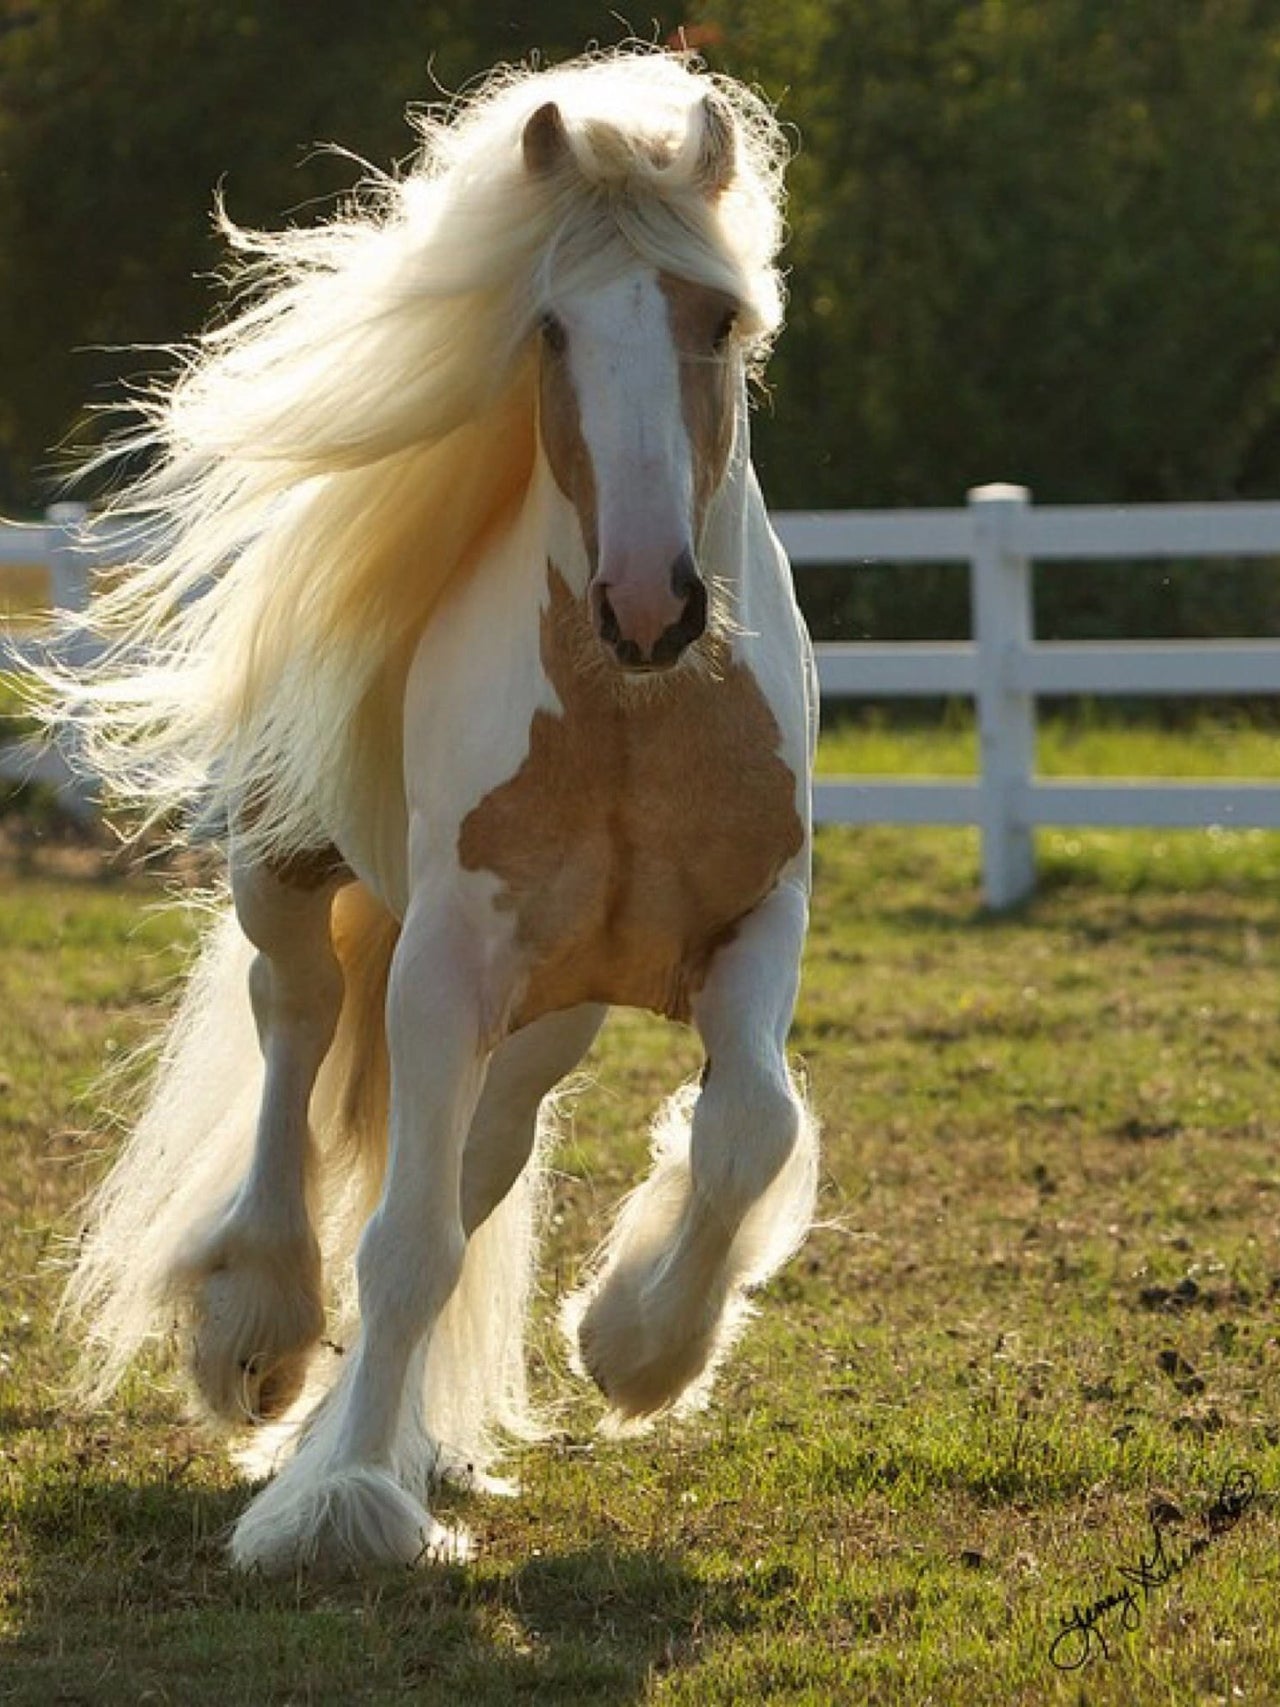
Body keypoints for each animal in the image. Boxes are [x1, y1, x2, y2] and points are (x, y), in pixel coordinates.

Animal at [53, 50, 819, 1572]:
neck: (633, 718)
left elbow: (748, 1128)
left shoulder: (757, 920)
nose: (647, 604)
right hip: (293, 879)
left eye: (716, 318)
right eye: (551, 327)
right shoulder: (449, 953)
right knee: (292, 1029)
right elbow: (401, 1243)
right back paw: (260, 1332)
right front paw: (342, 1499)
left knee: (478, 1155)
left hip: (546, 1013)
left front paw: (636, 1345)